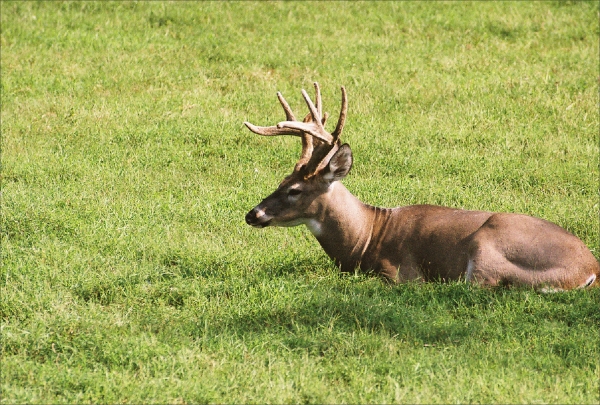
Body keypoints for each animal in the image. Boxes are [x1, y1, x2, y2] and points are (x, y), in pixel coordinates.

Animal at [243, 83, 600, 290]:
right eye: (282, 181)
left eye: (295, 191)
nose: (252, 214)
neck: (364, 238)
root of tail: (588, 270)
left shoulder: (395, 270)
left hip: (488, 249)